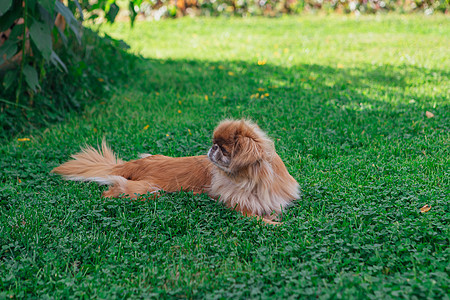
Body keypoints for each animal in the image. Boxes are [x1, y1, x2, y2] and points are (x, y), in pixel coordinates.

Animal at [51, 118, 298, 224]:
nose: (212, 147)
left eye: (223, 149)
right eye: (216, 145)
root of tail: (136, 164)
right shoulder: (237, 208)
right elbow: (259, 219)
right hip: (146, 189)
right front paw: (275, 224)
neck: (251, 181)